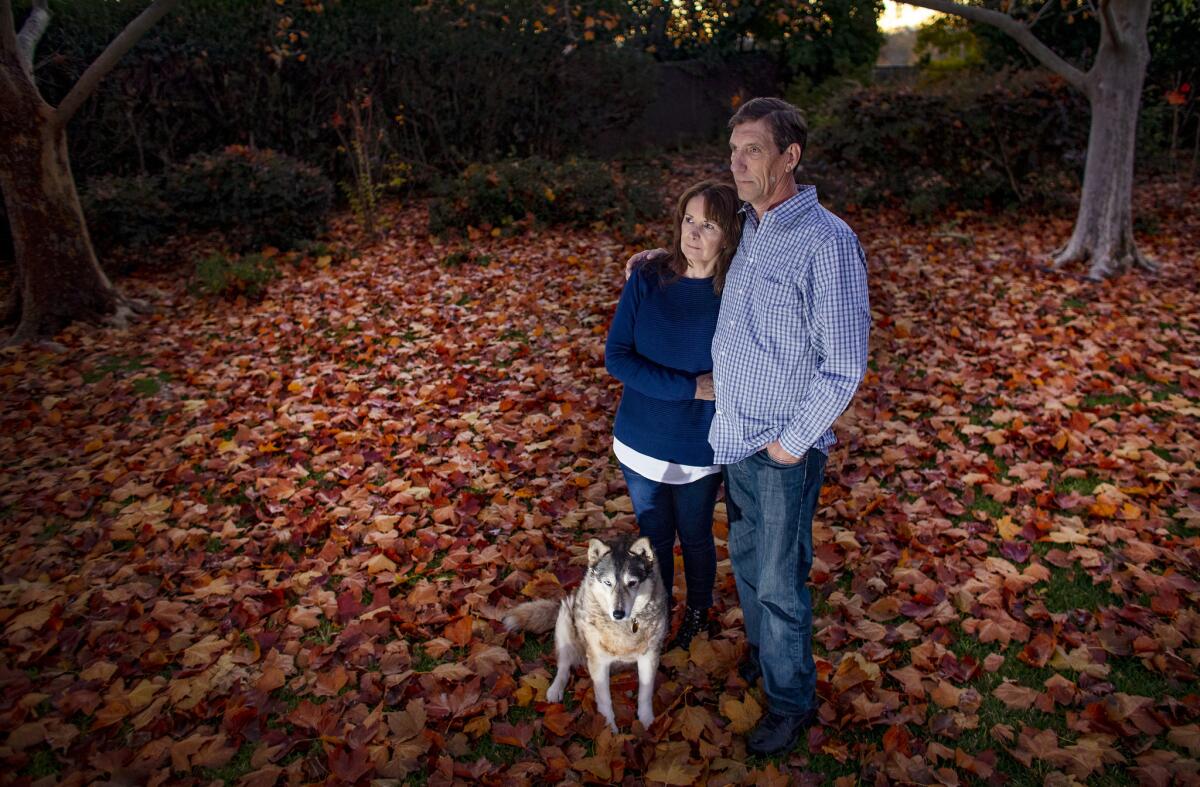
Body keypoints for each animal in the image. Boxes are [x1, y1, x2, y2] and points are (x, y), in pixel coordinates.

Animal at [501, 535, 672, 729]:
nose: (618, 613)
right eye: (608, 582)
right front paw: (608, 728)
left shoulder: (649, 657)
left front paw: (648, 724)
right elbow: (604, 700)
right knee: (564, 666)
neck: (624, 627)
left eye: (632, 583)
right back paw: (555, 689)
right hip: (565, 623)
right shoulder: (598, 661)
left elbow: (645, 693)